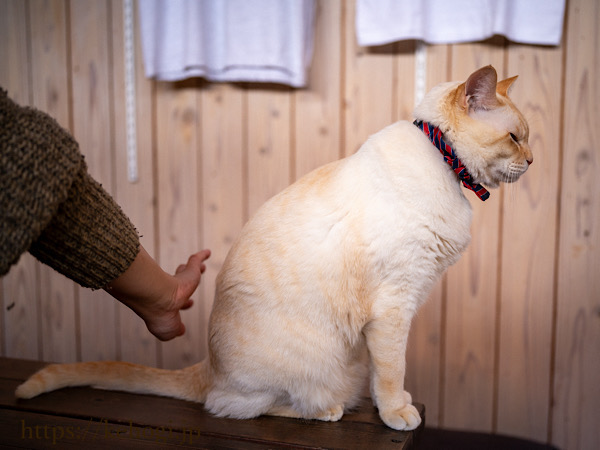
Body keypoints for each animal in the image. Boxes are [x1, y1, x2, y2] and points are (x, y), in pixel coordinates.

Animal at [14, 65, 528, 430]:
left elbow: (390, 374)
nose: (532, 160)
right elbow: (391, 374)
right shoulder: (394, 306)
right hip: (308, 369)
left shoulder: (405, 299)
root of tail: (208, 366)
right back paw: (326, 410)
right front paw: (397, 414)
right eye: (514, 137)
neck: (445, 167)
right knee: (234, 406)